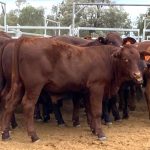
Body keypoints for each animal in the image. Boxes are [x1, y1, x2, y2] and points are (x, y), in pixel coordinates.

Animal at [0, 36, 144, 142]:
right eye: (125, 59)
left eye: (138, 58)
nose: (137, 76)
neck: (107, 60)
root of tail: (25, 39)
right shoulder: (97, 87)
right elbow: (97, 111)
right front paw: (100, 133)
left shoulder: (87, 91)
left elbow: (90, 111)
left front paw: (93, 129)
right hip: (34, 86)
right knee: (28, 105)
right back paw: (33, 136)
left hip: (18, 84)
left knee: (10, 103)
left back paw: (6, 134)